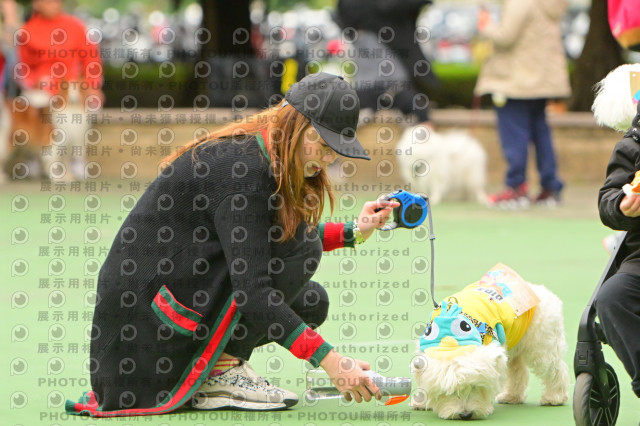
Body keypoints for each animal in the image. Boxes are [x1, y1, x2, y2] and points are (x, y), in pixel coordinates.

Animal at [410, 263, 569, 420]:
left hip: (542, 346)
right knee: (518, 372)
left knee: (555, 369)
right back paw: (511, 396)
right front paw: (421, 401)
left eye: (476, 387)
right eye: (449, 391)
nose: (466, 415)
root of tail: (540, 290)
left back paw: (554, 398)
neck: (452, 343)